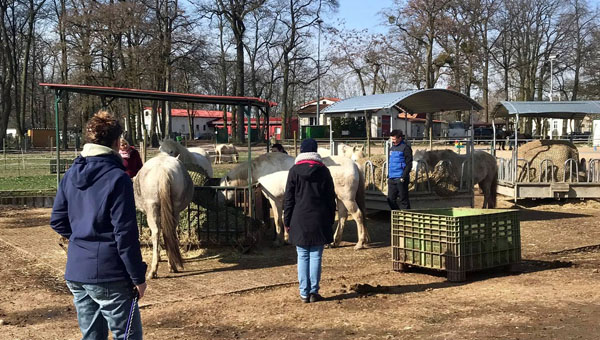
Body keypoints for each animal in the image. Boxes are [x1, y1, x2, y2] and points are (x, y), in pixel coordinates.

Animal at [227, 153, 368, 248]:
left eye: (226, 189)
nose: (227, 204)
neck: (264, 171)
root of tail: (354, 164)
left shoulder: (276, 201)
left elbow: (278, 220)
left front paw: (278, 241)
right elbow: (285, 218)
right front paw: (286, 238)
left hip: (347, 198)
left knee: (358, 215)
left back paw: (359, 243)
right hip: (341, 198)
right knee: (343, 216)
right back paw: (335, 241)